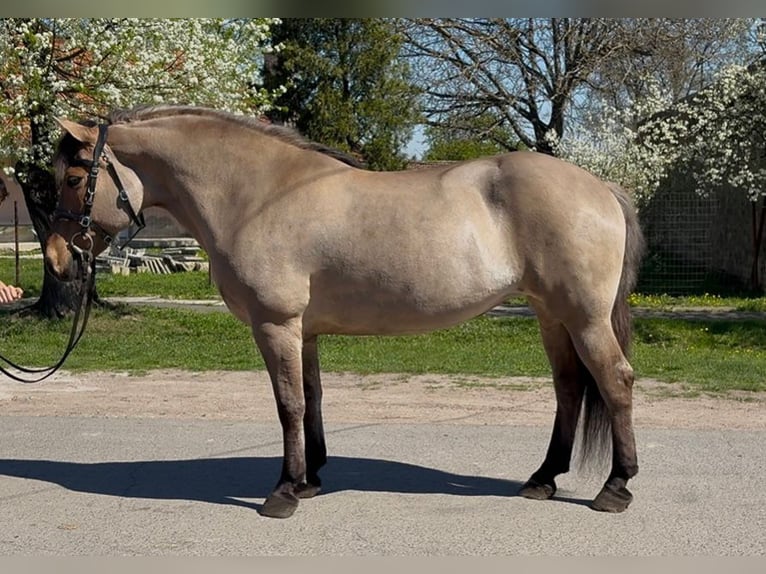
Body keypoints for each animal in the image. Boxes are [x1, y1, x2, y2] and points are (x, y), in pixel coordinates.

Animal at [44, 105, 645, 519]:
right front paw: (309, 479)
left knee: (614, 382)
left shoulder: (275, 325)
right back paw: (543, 478)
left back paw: (615, 488)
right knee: (569, 387)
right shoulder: (302, 332)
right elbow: (310, 400)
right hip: (551, 315)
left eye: (74, 179)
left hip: (584, 318)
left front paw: (283, 493)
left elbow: (287, 404)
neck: (258, 195)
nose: (55, 257)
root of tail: (602, 187)